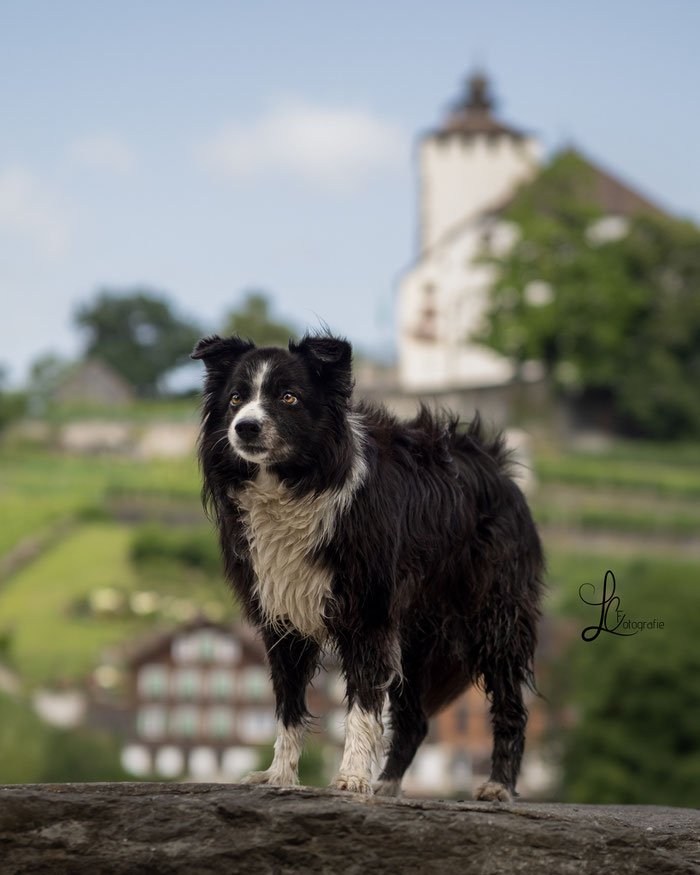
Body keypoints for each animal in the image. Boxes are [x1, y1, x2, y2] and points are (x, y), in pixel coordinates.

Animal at [194, 332, 544, 804]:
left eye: (288, 397)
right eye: (236, 398)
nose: (245, 427)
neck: (296, 483)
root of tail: (500, 469)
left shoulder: (368, 615)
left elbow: (361, 704)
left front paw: (350, 779)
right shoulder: (281, 614)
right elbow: (288, 706)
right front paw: (280, 776)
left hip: (494, 617)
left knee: (510, 704)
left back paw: (498, 785)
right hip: (417, 634)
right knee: (414, 719)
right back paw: (389, 785)